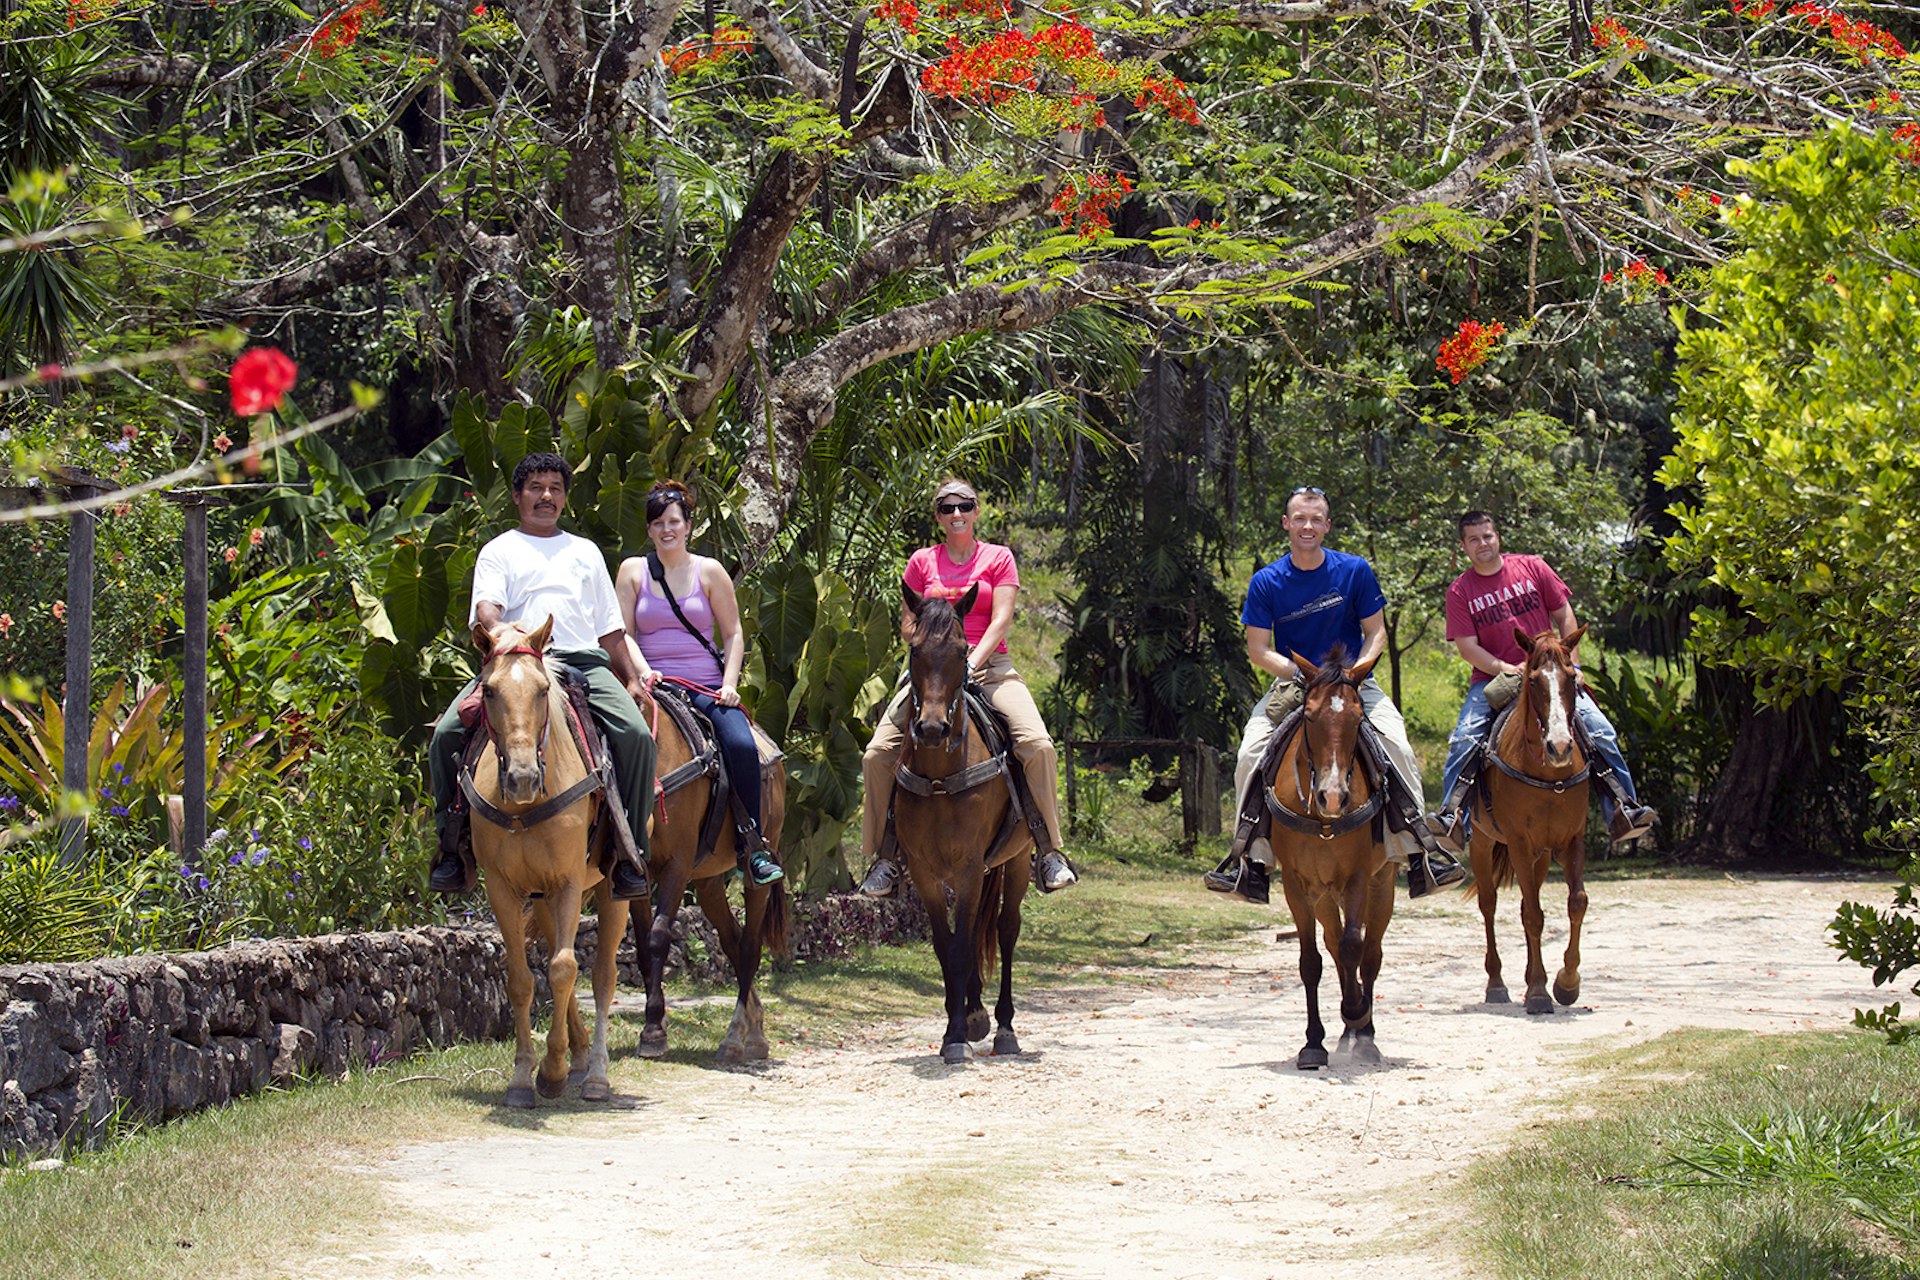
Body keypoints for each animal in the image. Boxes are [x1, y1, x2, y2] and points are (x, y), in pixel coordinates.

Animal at [466, 614, 629, 1105]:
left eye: (541, 690)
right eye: (490, 690)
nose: (521, 778)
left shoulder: (569, 881)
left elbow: (563, 969)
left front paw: (553, 1070)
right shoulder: (503, 887)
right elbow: (522, 979)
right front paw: (525, 1075)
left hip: (613, 888)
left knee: (601, 974)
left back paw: (594, 1074)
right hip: (540, 898)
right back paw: (578, 1060)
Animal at [625, 687, 783, 1066]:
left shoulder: (677, 865)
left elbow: (657, 937)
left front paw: (653, 1032)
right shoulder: (641, 875)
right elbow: (642, 947)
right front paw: (656, 1021)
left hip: (757, 874)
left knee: (750, 945)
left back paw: (738, 1036)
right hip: (708, 881)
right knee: (732, 940)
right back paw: (753, 1026)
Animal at [1267, 652, 1390, 1074]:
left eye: (1358, 717)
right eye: (1309, 715)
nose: (1333, 796)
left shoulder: (1358, 878)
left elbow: (1355, 947)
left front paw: (1355, 1011)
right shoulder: (1296, 885)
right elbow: (1312, 961)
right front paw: (1313, 1044)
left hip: (1381, 884)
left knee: (1369, 954)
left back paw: (1364, 1034)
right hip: (1322, 895)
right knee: (1335, 948)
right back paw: (1347, 1034)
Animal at [1466, 625, 1589, 1013]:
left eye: (1570, 677)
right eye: (1533, 681)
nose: (1560, 747)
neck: (1548, 774)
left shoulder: (1571, 840)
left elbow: (1576, 902)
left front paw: (1566, 983)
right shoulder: (1519, 844)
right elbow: (1534, 915)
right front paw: (1538, 992)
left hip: (1541, 856)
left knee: (1524, 904)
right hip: (1482, 843)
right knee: (1489, 905)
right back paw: (1497, 983)